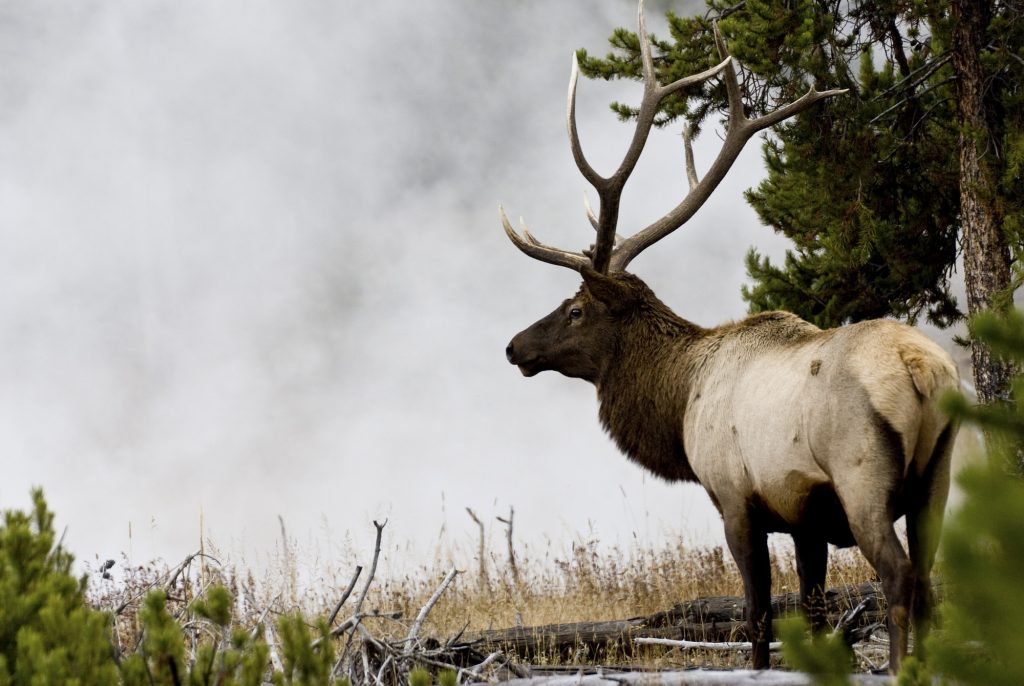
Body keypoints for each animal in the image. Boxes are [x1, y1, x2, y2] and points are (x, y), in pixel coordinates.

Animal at [501, 0, 957, 673]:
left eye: (577, 309)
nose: (514, 346)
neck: (680, 400)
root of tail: (922, 370)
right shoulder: (805, 518)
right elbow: (813, 611)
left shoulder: (736, 497)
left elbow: (758, 615)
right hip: (937, 474)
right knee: (927, 578)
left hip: (862, 472)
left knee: (899, 576)